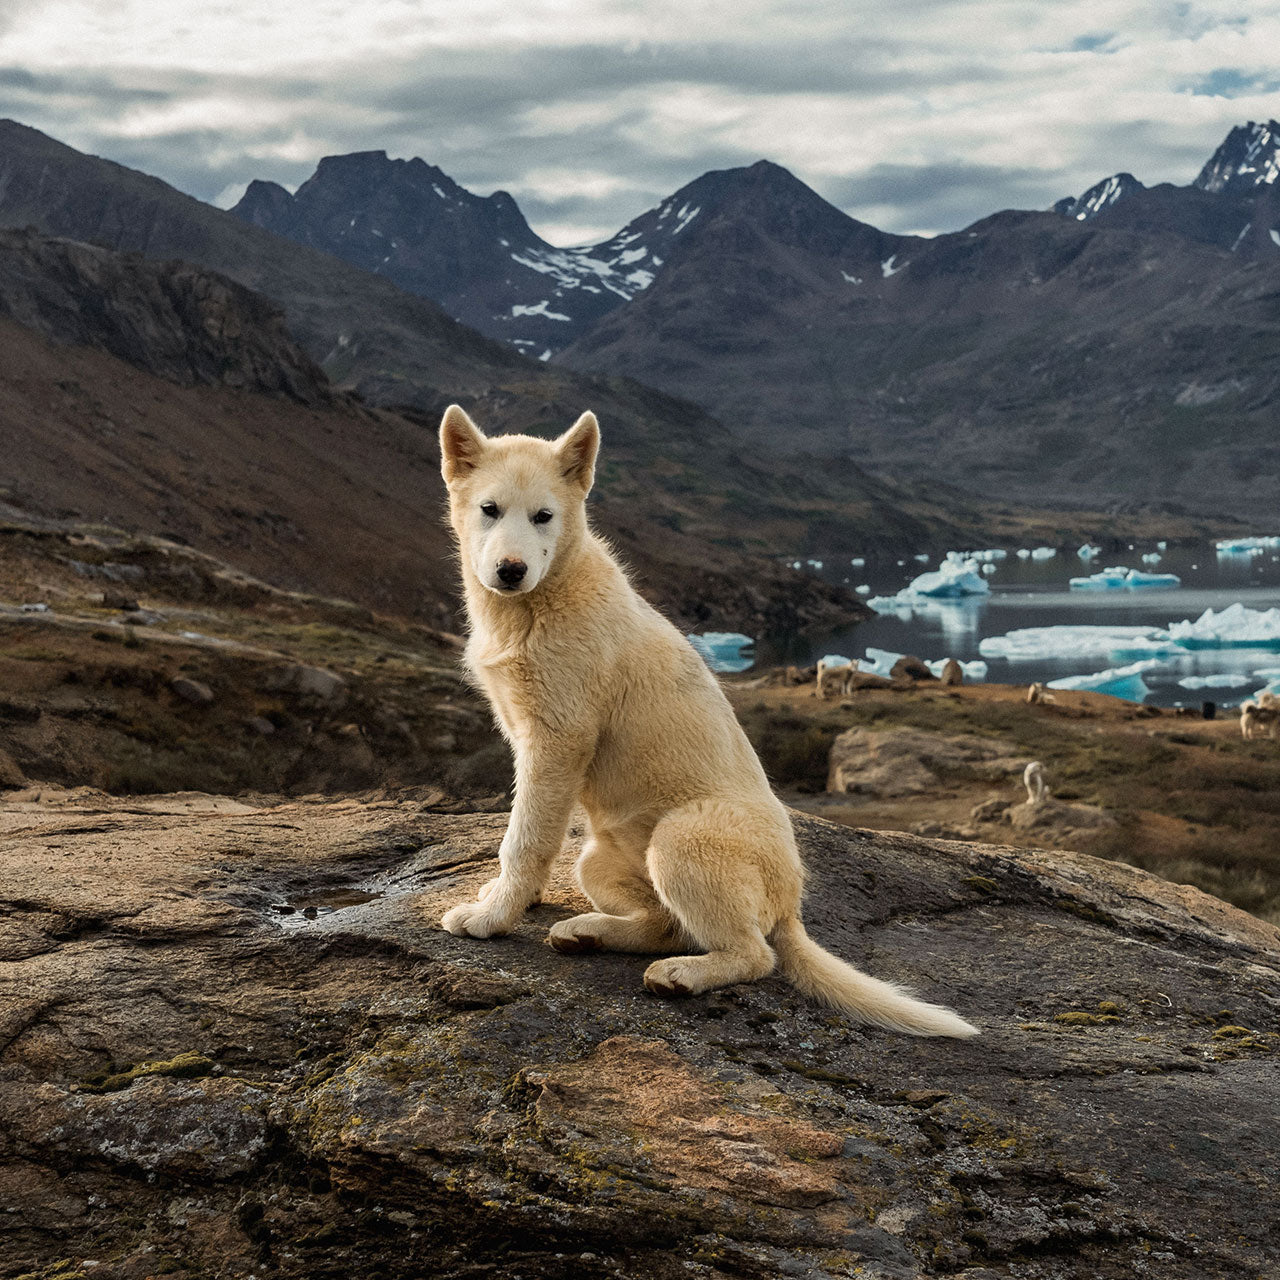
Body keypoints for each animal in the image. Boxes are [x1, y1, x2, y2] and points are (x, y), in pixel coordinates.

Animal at [440, 409, 977, 1039]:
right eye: (489, 509)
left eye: (544, 516)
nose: (511, 570)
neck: (538, 601)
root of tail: (789, 908)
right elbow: (527, 834)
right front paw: (506, 902)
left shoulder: (558, 737)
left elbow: (524, 839)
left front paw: (494, 915)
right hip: (599, 860)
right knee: (671, 925)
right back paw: (591, 932)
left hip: (683, 838)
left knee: (754, 955)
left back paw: (682, 975)